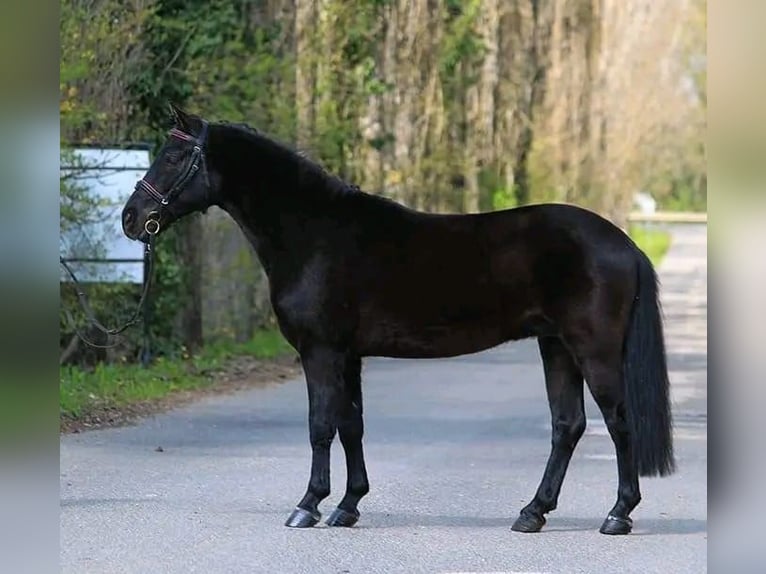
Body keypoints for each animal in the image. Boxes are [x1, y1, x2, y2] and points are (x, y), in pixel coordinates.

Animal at [121, 104, 680, 540]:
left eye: (173, 157)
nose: (130, 218)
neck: (313, 234)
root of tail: (624, 244)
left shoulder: (321, 352)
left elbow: (320, 426)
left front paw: (308, 506)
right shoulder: (348, 355)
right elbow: (351, 425)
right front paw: (347, 507)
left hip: (593, 349)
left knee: (617, 422)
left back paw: (617, 515)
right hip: (556, 346)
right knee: (568, 426)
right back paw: (532, 513)